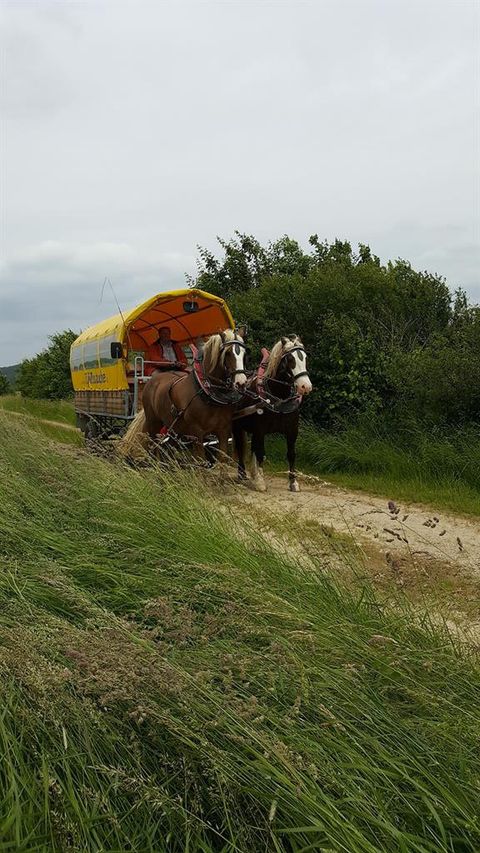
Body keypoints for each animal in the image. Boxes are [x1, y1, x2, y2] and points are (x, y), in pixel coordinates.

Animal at [120, 329, 247, 465]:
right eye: (227, 353)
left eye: (244, 353)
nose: (241, 383)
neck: (206, 391)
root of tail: (152, 380)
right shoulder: (197, 433)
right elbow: (201, 461)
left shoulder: (223, 431)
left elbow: (222, 460)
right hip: (153, 422)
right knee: (153, 445)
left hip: (172, 427)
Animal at [233, 335, 312, 492]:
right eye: (290, 359)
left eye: (305, 358)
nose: (305, 386)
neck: (278, 398)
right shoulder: (260, 430)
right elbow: (261, 453)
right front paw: (260, 482)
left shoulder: (292, 431)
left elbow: (291, 454)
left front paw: (293, 482)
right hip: (236, 426)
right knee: (240, 448)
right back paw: (242, 474)